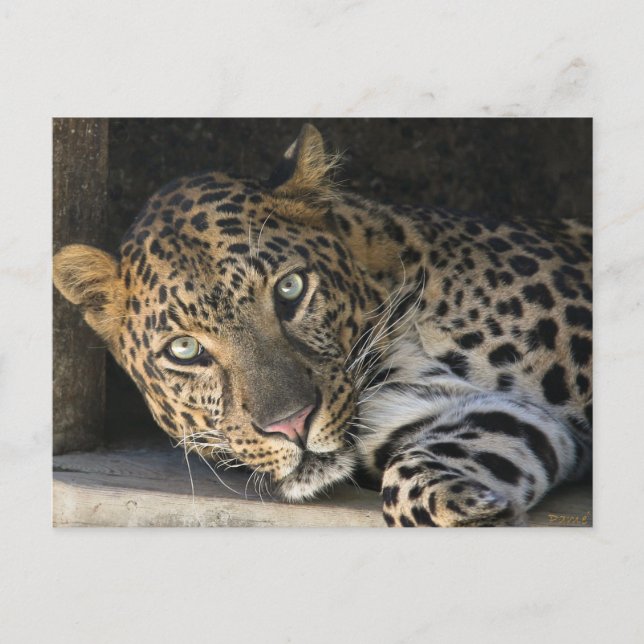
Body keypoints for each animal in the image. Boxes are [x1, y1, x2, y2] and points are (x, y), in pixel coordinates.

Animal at [53, 124, 592, 527]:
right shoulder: (476, 411)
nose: (291, 425)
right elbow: (421, 469)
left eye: (290, 289)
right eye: (185, 350)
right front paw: (474, 511)